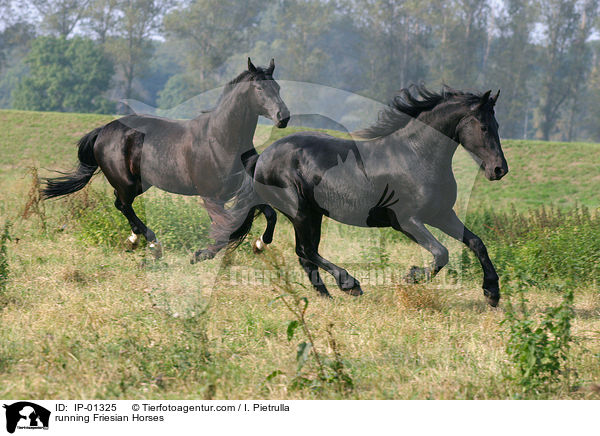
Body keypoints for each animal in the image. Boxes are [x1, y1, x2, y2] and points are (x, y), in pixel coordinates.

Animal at [41, 59, 290, 260]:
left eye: (278, 87)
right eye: (258, 88)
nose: (283, 117)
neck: (221, 141)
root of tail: (104, 130)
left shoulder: (242, 191)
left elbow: (269, 214)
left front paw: (259, 244)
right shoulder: (211, 197)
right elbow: (227, 227)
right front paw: (201, 255)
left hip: (140, 184)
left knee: (120, 204)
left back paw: (135, 240)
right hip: (127, 182)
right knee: (123, 204)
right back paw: (153, 243)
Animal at [213, 85, 508, 306]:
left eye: (497, 124)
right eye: (483, 127)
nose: (499, 169)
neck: (416, 156)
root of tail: (263, 157)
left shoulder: (442, 214)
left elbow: (476, 243)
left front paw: (492, 292)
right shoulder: (406, 221)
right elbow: (442, 253)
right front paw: (412, 277)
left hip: (313, 214)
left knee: (306, 255)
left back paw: (327, 296)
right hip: (300, 211)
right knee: (305, 250)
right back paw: (349, 284)